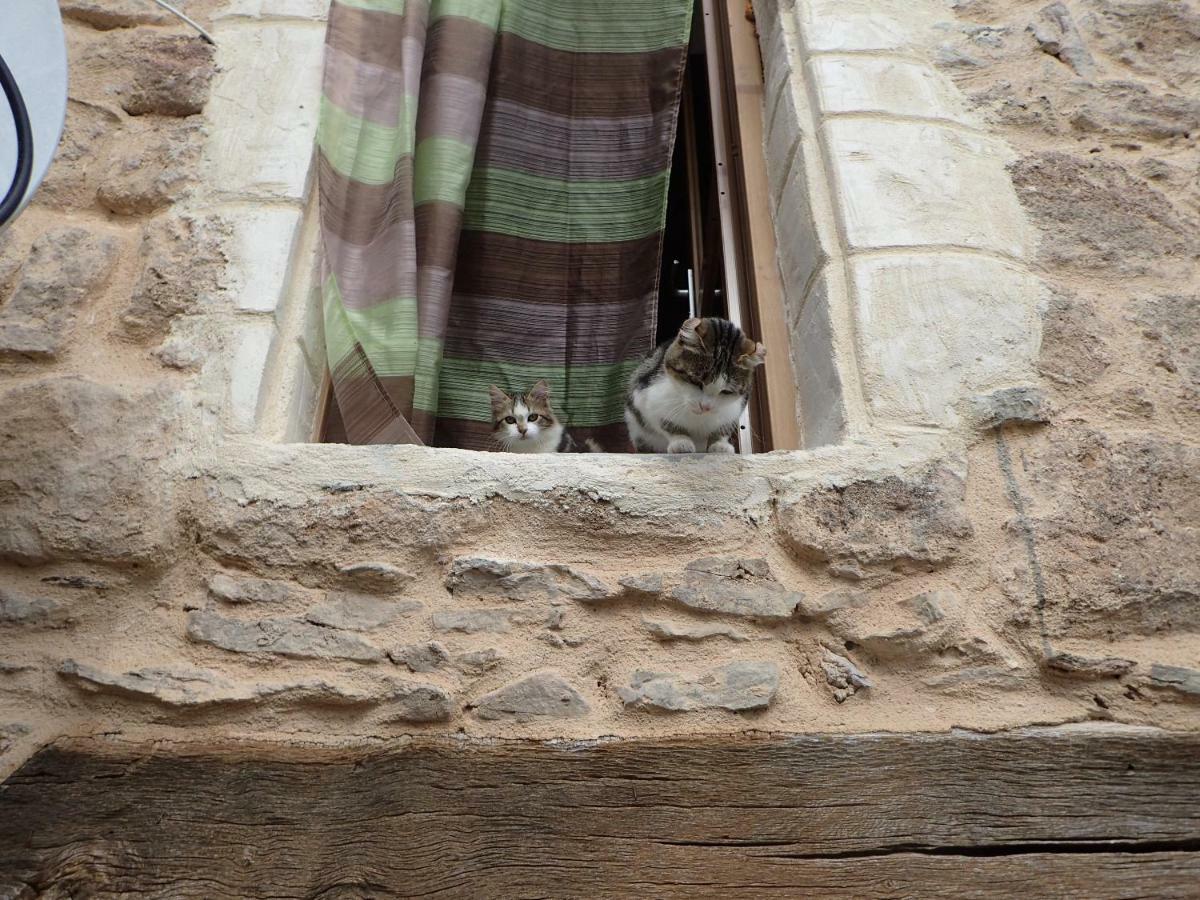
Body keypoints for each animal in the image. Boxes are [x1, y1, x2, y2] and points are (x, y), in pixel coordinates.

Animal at [624, 319, 763, 458]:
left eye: (726, 391)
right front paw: (681, 442)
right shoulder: (647, 399)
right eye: (695, 381)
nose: (706, 407)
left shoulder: (736, 408)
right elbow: (666, 423)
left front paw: (719, 444)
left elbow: (724, 427)